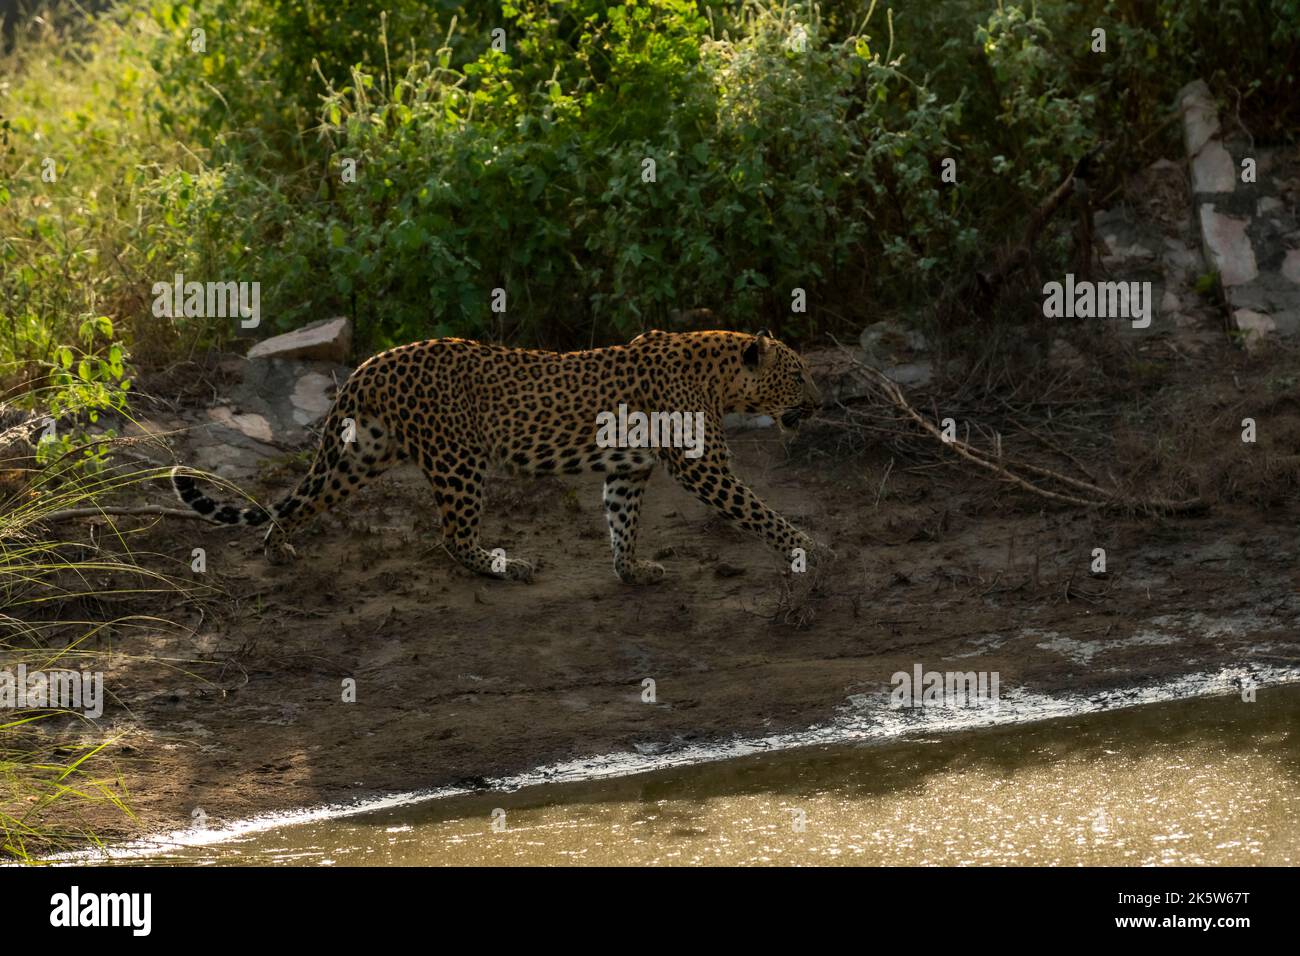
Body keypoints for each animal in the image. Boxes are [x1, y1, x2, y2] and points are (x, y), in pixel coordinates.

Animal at [172, 329, 821, 582]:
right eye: (798, 374)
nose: (820, 403)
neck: (721, 377)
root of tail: (369, 365)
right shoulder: (702, 467)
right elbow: (758, 509)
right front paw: (811, 549)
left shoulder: (628, 470)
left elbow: (622, 521)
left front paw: (632, 570)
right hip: (458, 460)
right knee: (451, 537)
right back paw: (505, 565)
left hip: (362, 453)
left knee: (303, 500)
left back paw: (277, 545)